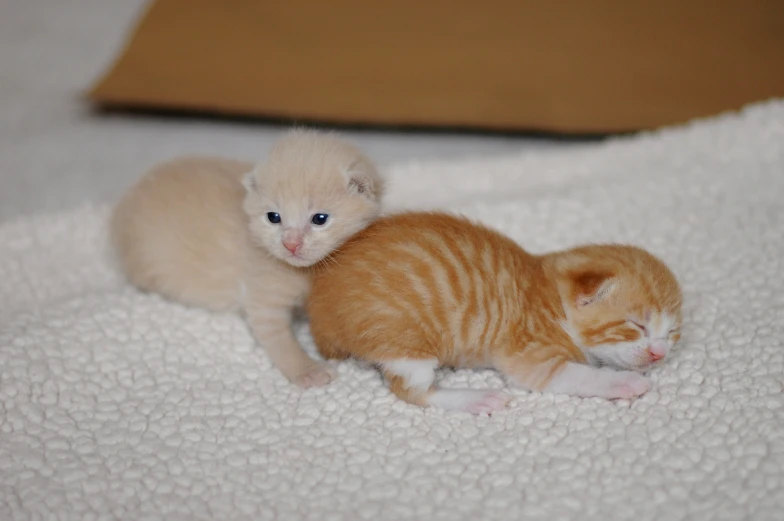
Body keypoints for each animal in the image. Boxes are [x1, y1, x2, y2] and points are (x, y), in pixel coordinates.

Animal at [112, 129, 384, 386]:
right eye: (273, 217)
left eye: (319, 219)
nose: (290, 244)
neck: (305, 271)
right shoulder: (263, 296)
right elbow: (279, 339)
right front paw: (307, 371)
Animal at [306, 209, 680, 412]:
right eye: (636, 325)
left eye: (673, 333)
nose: (659, 354)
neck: (552, 299)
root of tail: (319, 309)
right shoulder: (533, 356)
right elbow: (582, 375)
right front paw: (624, 382)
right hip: (404, 340)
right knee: (413, 392)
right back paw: (476, 399)